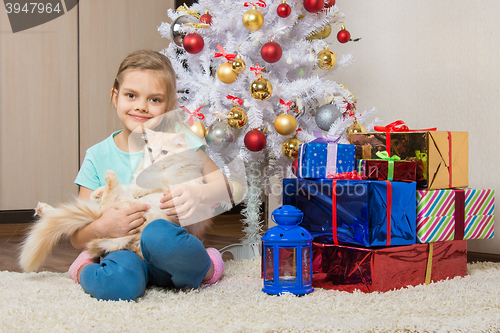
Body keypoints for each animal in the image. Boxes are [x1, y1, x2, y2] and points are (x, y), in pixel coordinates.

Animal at [19, 128, 213, 272]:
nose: (152, 160)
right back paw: (43, 208)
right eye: (150, 150)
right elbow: (130, 185)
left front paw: (138, 188)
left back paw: (110, 177)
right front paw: (97, 192)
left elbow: (152, 182)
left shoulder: (177, 186)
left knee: (101, 209)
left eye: (164, 152)